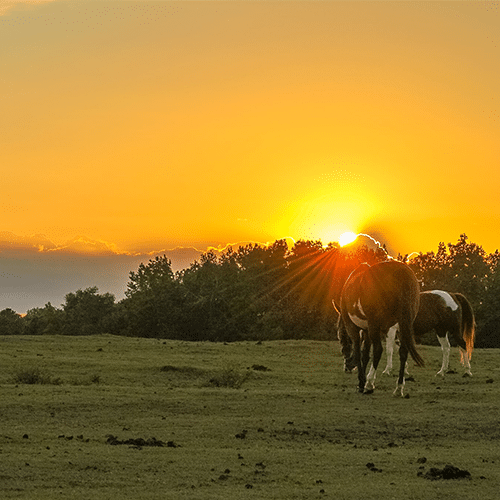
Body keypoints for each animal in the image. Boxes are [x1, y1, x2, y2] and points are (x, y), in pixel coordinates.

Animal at [334, 260, 424, 396]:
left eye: (341, 340)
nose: (347, 367)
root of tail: (401, 272)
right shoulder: (367, 330)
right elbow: (365, 354)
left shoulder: (354, 328)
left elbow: (359, 352)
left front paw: (362, 382)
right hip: (403, 324)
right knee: (403, 352)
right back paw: (398, 388)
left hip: (375, 326)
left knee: (378, 350)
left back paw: (369, 384)